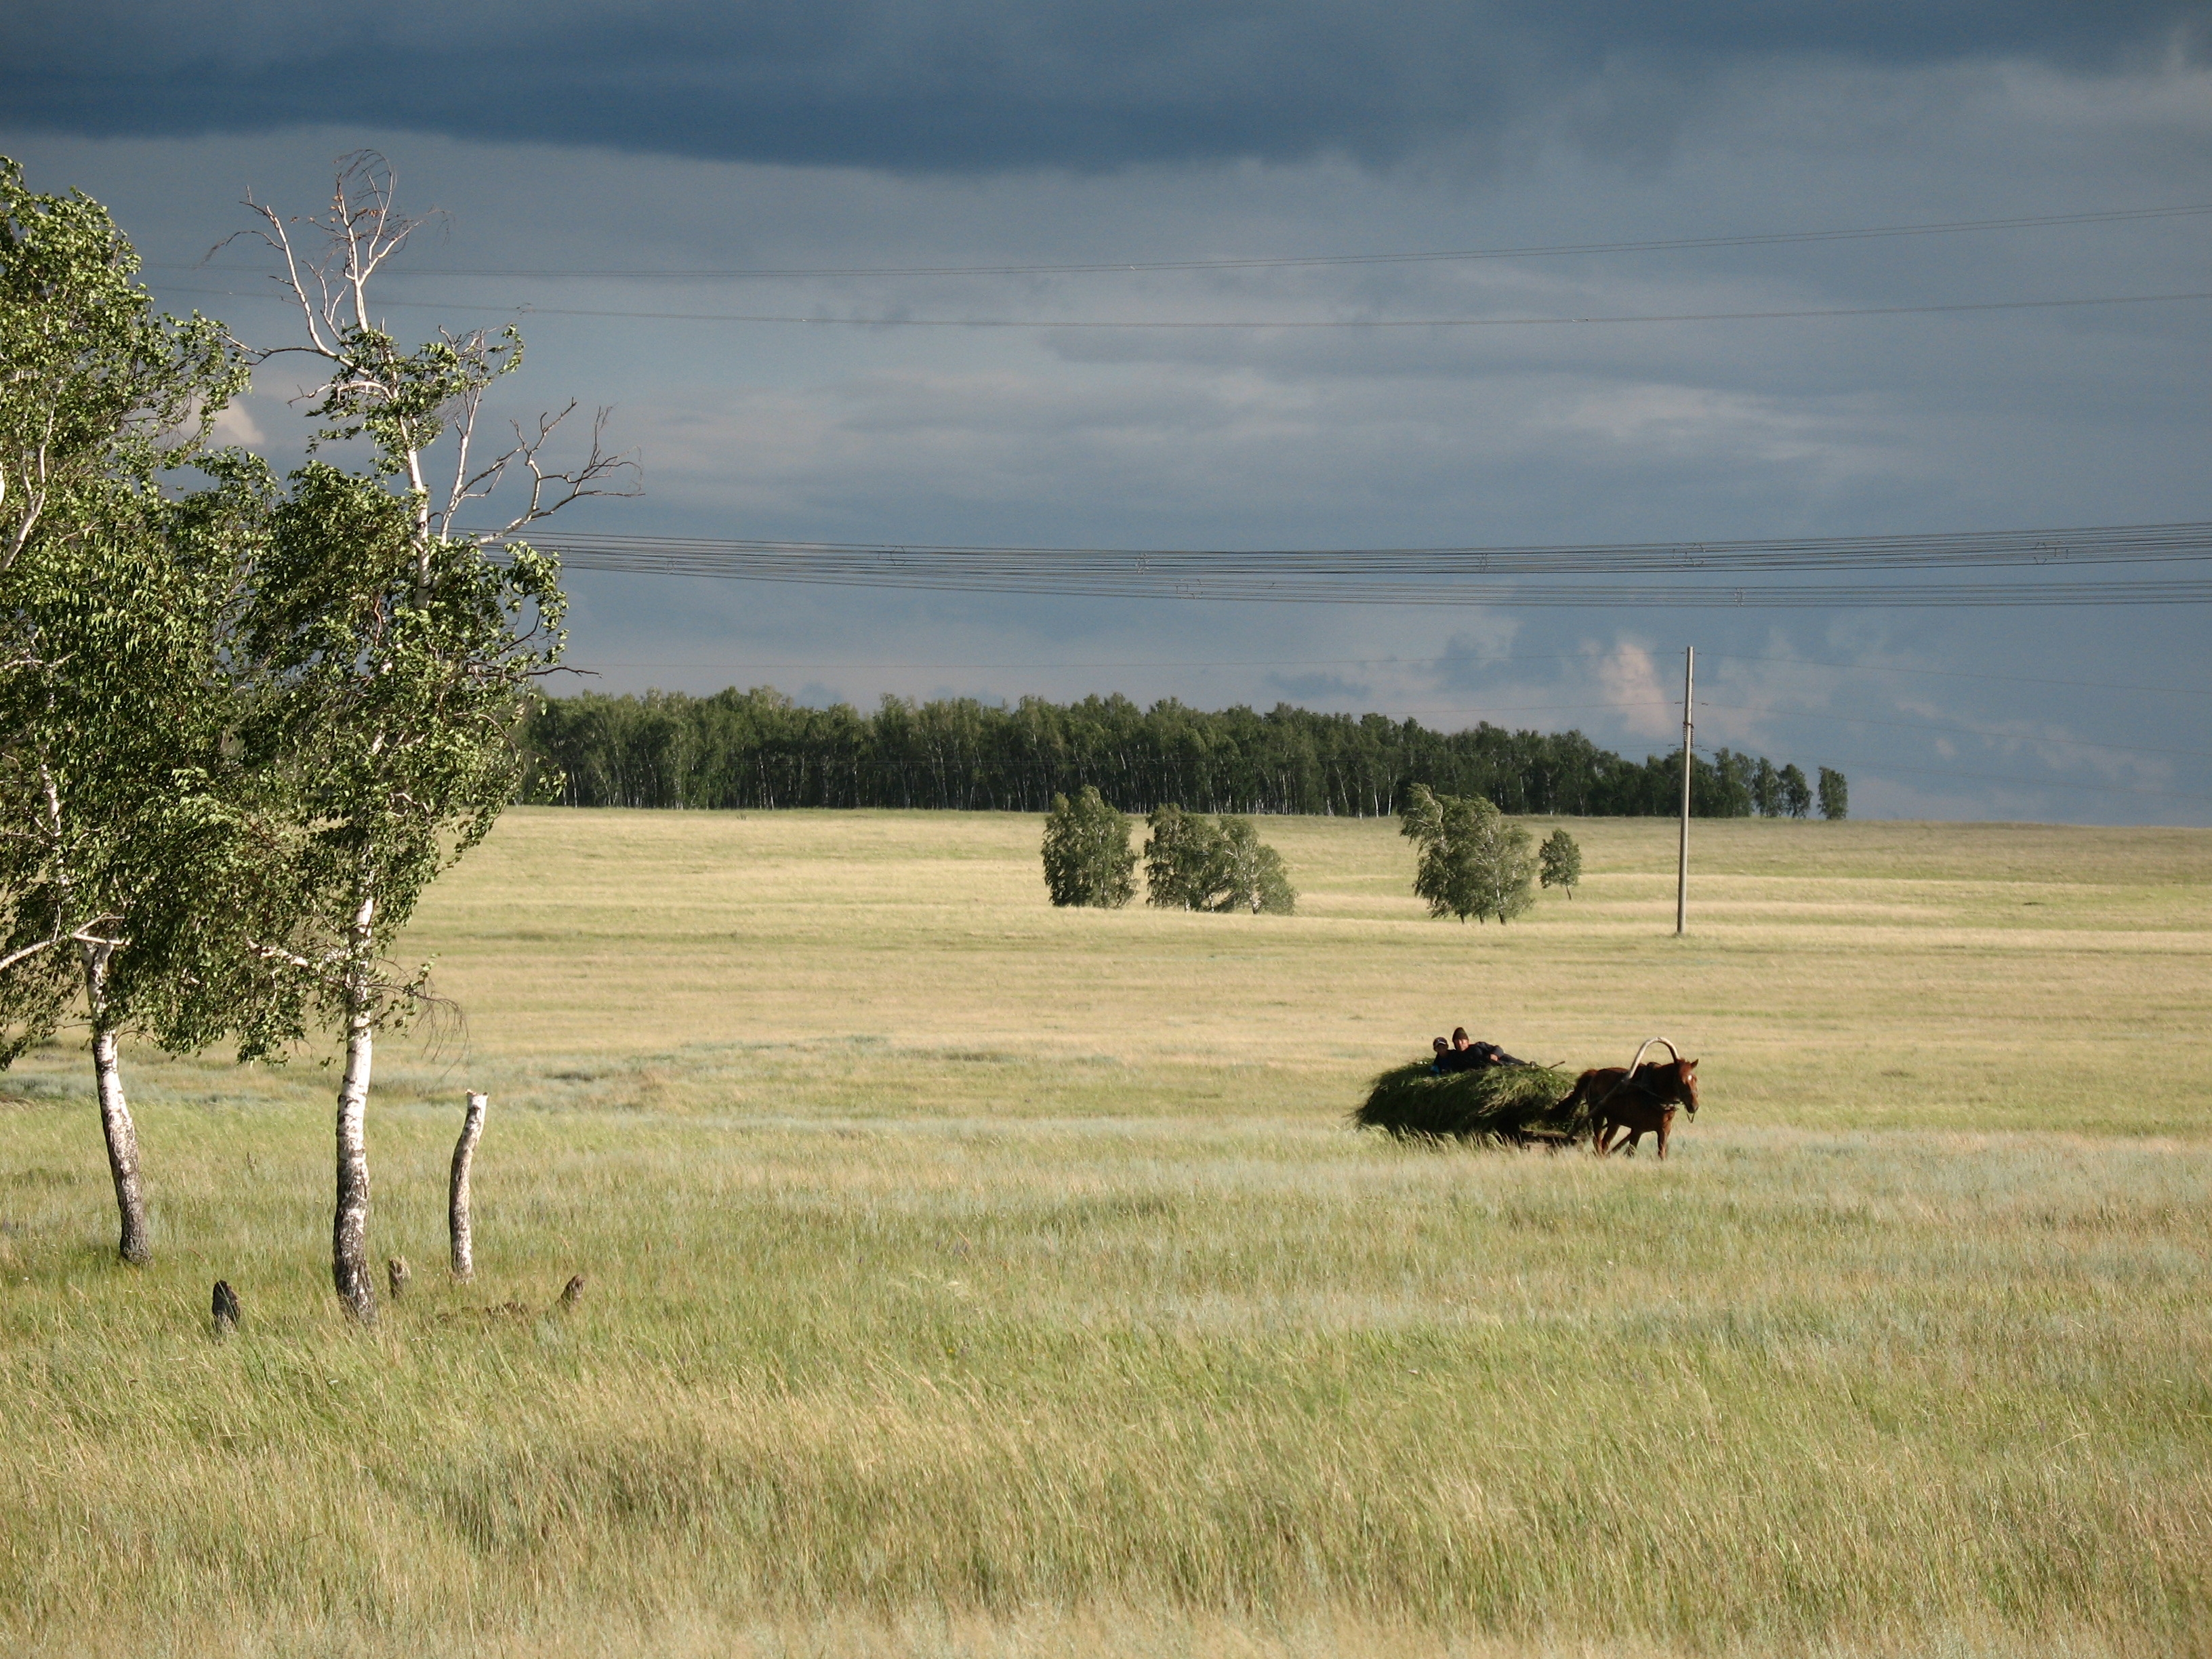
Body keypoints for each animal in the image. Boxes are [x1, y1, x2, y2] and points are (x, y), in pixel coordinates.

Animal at [1565, 1057, 1698, 1159]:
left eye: (1695, 1079)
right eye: (1681, 1080)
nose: (1694, 1106)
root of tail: (1595, 1073)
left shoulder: (1665, 1129)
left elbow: (1662, 1153)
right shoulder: (1637, 1129)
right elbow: (1631, 1153)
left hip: (1614, 1122)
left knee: (1605, 1143)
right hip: (1597, 1115)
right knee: (1598, 1141)